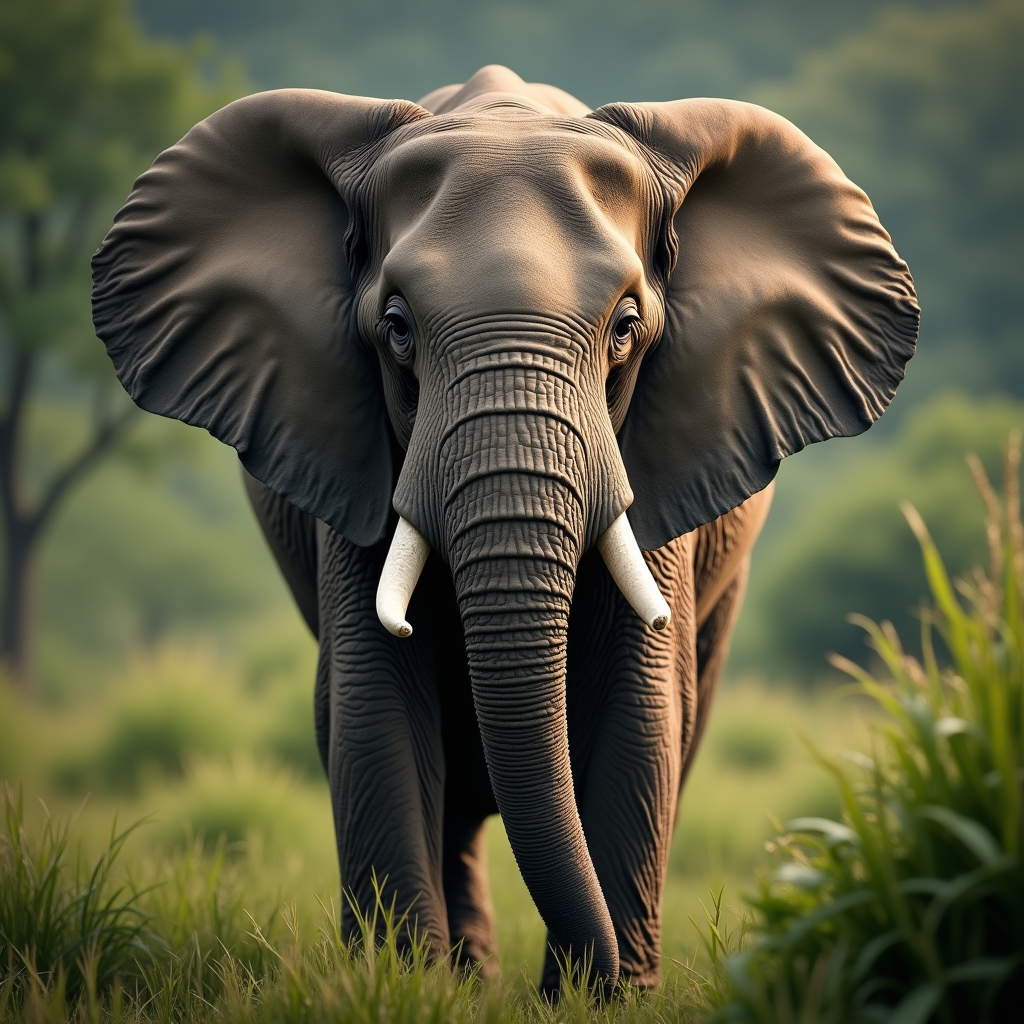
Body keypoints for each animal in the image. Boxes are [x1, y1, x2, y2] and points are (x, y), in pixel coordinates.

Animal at [91, 65, 918, 991]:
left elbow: (639, 708)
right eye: (397, 327)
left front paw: (602, 999)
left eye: (625, 328)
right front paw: (402, 987)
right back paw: (467, 979)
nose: (585, 966)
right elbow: (372, 706)